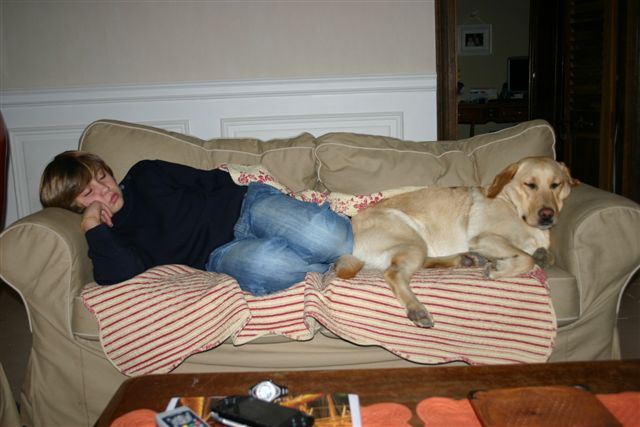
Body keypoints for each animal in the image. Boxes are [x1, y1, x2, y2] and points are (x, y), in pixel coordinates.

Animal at [335, 156, 579, 328]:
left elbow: (542, 255)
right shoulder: (483, 238)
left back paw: (466, 259)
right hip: (411, 235)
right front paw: (499, 269)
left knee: (417, 263)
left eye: (556, 185)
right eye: (530, 185)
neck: (514, 206)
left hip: (416, 244)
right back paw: (417, 309)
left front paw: (540, 255)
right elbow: (527, 258)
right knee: (394, 273)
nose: (547, 215)